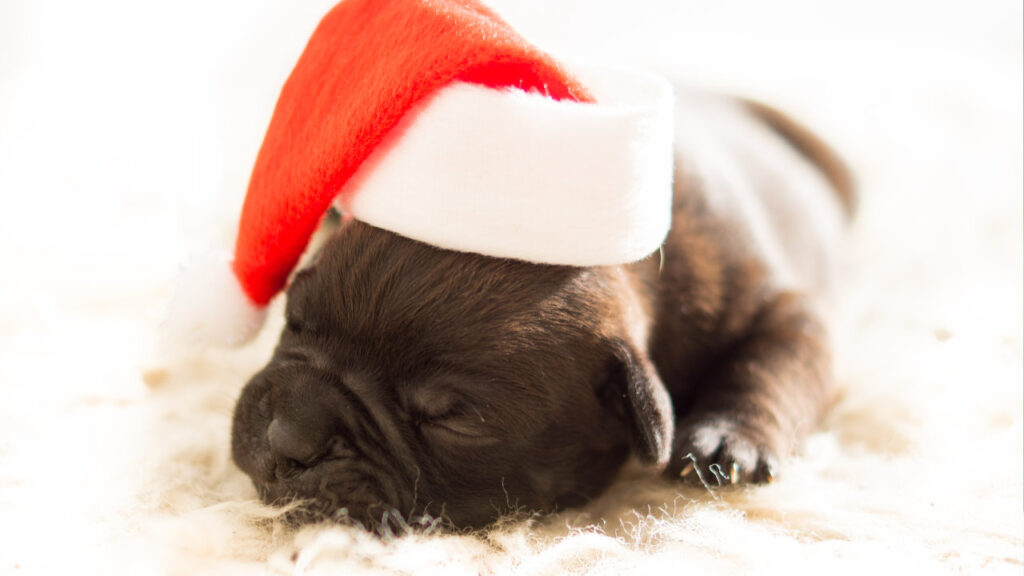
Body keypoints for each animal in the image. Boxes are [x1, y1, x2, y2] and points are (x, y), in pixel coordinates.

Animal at [228, 89, 851, 528]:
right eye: (294, 319)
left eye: (452, 421)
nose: (288, 438)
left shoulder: (776, 303)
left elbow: (775, 359)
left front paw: (728, 437)